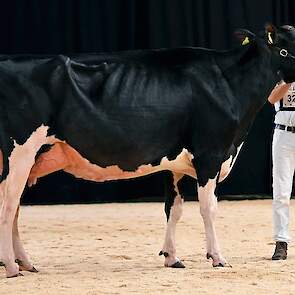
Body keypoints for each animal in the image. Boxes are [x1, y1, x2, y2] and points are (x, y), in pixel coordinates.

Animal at [0, 23, 295, 280]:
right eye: (285, 49)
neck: (228, 83)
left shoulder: (175, 165)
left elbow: (173, 209)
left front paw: (172, 257)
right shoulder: (210, 155)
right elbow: (208, 209)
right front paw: (218, 257)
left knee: (14, 209)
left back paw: (25, 262)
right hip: (20, 153)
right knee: (8, 206)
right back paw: (12, 267)